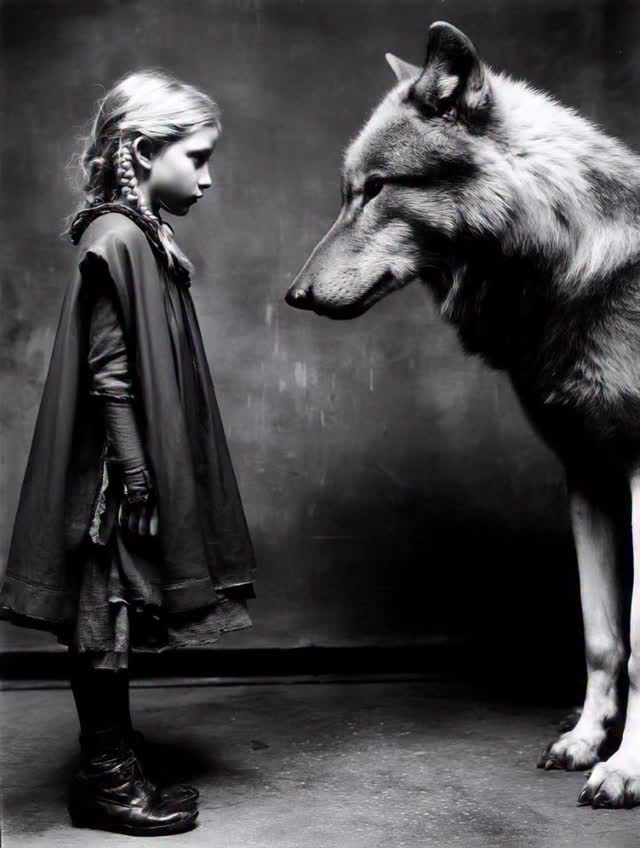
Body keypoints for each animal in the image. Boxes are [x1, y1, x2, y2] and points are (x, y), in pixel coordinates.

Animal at [285, 20, 640, 809]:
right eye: (347, 193)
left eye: (376, 189)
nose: (294, 296)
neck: (576, 267)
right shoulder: (587, 473)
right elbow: (604, 639)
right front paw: (584, 742)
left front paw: (627, 769)